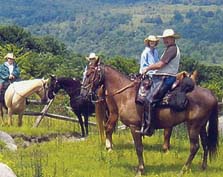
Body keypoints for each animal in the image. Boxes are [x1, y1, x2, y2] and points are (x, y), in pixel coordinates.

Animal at [80, 60, 218, 176]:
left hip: (193, 126)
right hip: (201, 126)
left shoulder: (134, 127)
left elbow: (139, 148)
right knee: (205, 144)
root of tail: (211, 94)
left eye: (89, 74)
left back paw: (183, 170)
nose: (83, 93)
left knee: (194, 147)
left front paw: (140, 170)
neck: (127, 95)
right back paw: (202, 167)